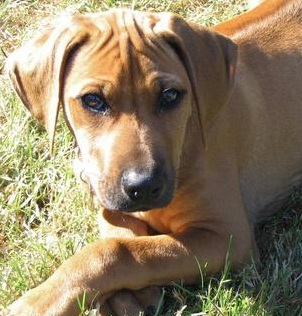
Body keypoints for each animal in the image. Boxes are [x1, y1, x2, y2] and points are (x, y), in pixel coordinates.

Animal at [4, 0, 302, 314]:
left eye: (170, 95)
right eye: (93, 100)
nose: (143, 187)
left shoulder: (228, 237)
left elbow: (117, 251)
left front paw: (42, 300)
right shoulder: (102, 191)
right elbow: (119, 232)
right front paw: (128, 296)